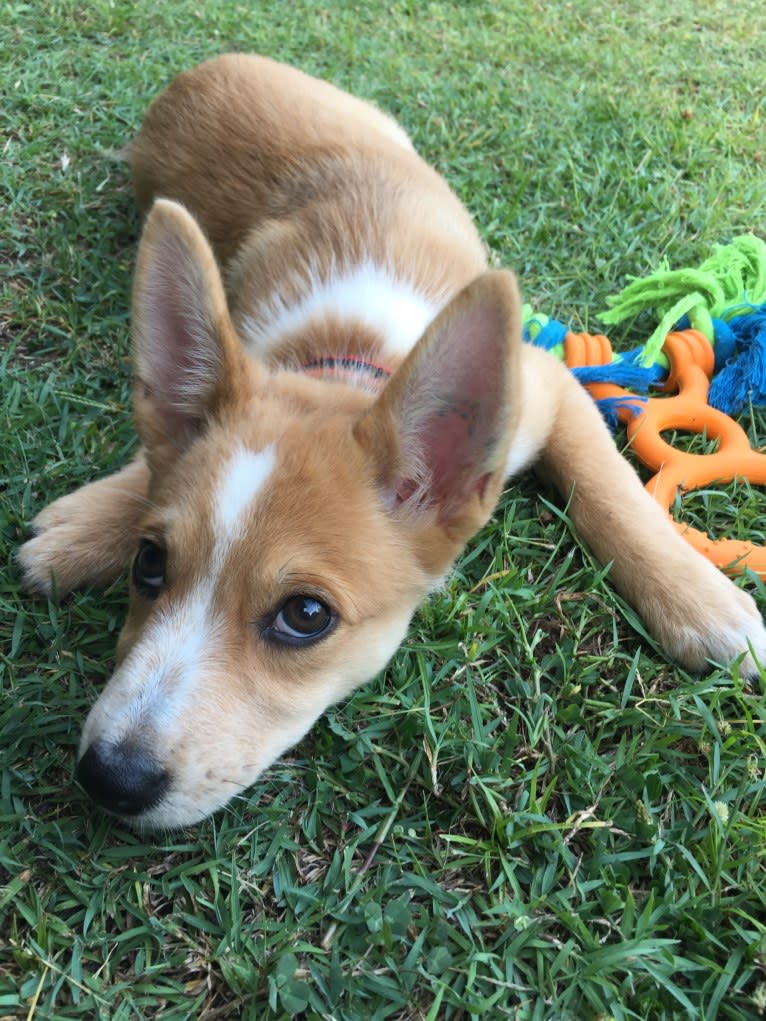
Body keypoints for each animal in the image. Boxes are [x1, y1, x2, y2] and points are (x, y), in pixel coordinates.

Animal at [19, 53, 766, 829]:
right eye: (149, 562)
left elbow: (613, 492)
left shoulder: (550, 384)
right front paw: (87, 524)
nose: (110, 778)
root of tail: (207, 67)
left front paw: (702, 604)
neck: (352, 358)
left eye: (306, 616)